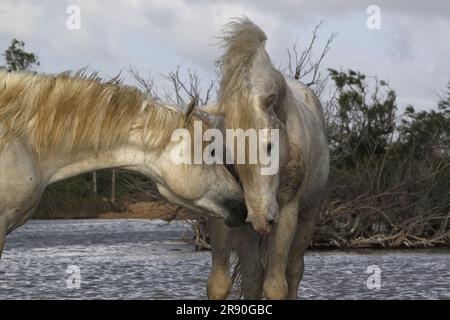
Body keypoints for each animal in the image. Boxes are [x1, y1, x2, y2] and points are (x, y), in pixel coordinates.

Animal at [202, 18, 328, 298]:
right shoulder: (226, 213)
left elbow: (276, 286)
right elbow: (219, 283)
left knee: (294, 271)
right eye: (229, 151)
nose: (261, 218)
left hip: (307, 216)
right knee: (253, 275)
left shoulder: (287, 213)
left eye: (270, 145)